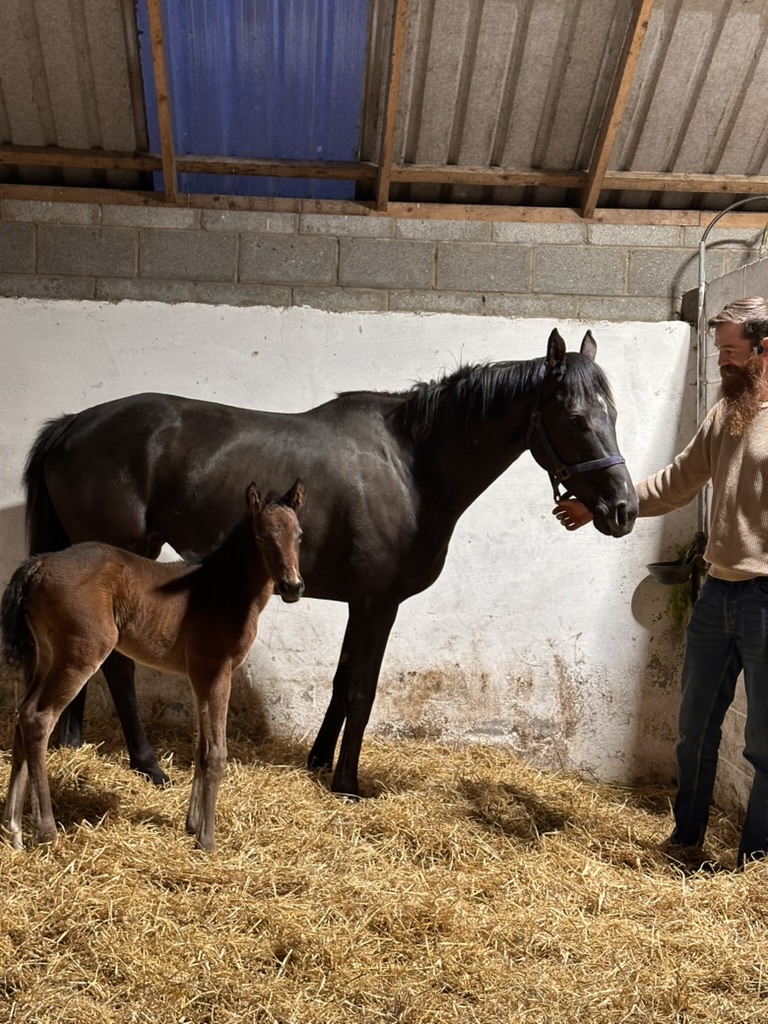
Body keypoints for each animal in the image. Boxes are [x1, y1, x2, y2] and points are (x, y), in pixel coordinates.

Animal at [1, 479, 305, 852]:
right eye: (262, 537)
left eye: (299, 535)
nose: (292, 587)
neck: (223, 588)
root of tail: (40, 564)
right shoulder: (217, 671)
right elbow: (216, 752)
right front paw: (207, 840)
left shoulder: (198, 675)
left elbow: (200, 746)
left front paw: (192, 825)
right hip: (80, 654)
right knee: (37, 718)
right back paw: (45, 830)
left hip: (46, 655)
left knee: (22, 715)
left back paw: (14, 830)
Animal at [20, 327, 638, 799]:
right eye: (576, 418)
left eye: (614, 413)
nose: (624, 509)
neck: (411, 466)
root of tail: (73, 424)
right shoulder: (377, 604)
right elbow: (362, 690)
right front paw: (347, 783)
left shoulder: (358, 603)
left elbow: (341, 683)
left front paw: (318, 762)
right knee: (117, 667)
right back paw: (147, 764)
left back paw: (73, 743)